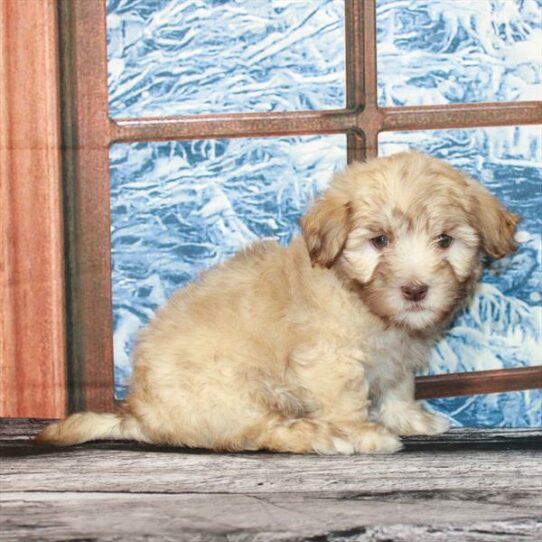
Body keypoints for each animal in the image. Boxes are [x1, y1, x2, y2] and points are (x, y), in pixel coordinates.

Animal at [36, 152, 520, 454]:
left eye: (445, 240)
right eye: (380, 241)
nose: (415, 289)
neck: (361, 299)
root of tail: (139, 412)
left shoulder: (397, 357)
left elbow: (398, 386)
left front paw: (408, 418)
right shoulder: (330, 361)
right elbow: (347, 400)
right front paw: (365, 435)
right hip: (232, 391)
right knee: (259, 433)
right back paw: (317, 436)